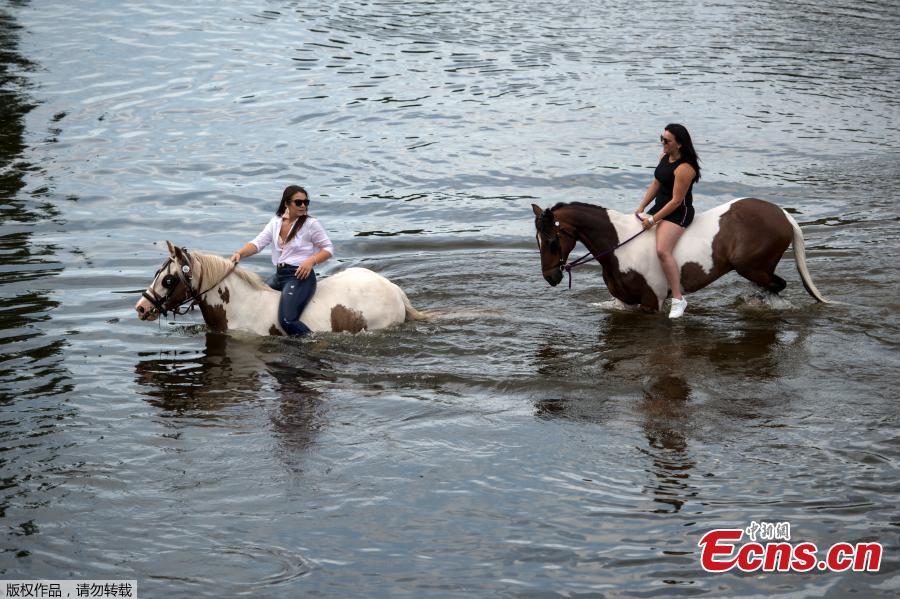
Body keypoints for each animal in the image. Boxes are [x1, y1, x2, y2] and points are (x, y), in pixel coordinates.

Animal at [532, 198, 829, 312]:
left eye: (553, 242)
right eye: (538, 240)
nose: (550, 277)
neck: (619, 245)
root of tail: (782, 214)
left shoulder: (651, 302)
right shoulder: (624, 302)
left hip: (753, 267)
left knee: (776, 285)